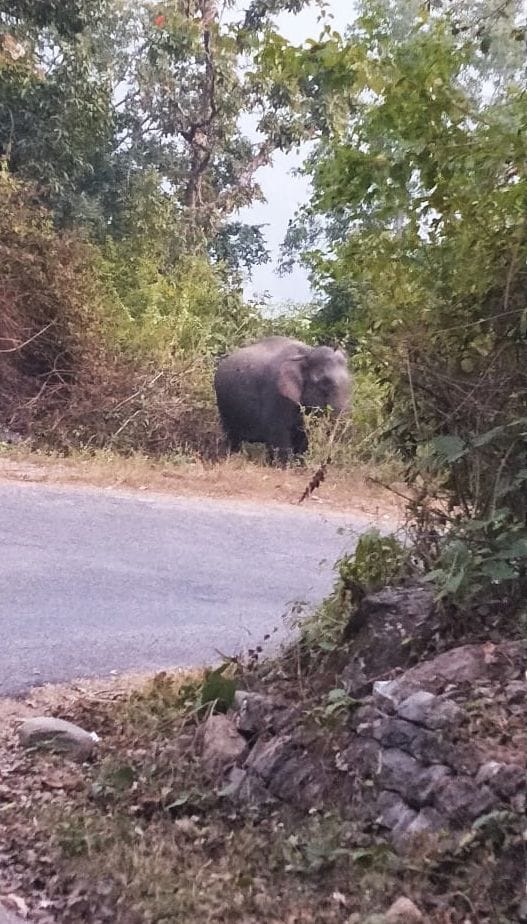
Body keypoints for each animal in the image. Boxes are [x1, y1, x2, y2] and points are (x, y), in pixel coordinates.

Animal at [214, 335, 350, 463]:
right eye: (324, 384)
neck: (306, 354)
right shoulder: (276, 396)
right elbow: (280, 436)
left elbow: (304, 437)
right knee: (232, 437)